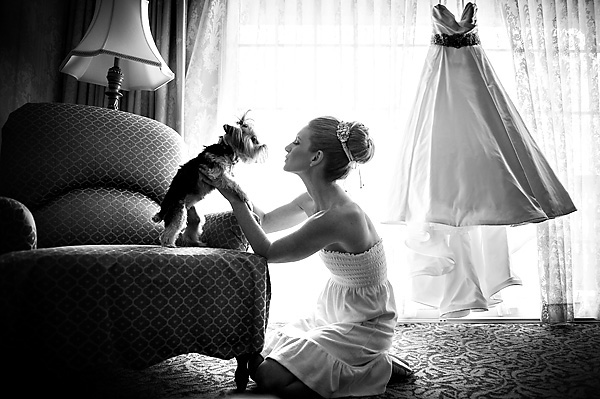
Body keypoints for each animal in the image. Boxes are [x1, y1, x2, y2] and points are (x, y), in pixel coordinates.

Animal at [152, 111, 268, 247]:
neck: (226, 149)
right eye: (253, 139)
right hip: (178, 211)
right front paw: (245, 197)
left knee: (191, 228)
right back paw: (169, 244)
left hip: (193, 214)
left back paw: (196, 243)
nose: (263, 145)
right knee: (169, 231)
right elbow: (235, 183)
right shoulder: (215, 173)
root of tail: (163, 207)